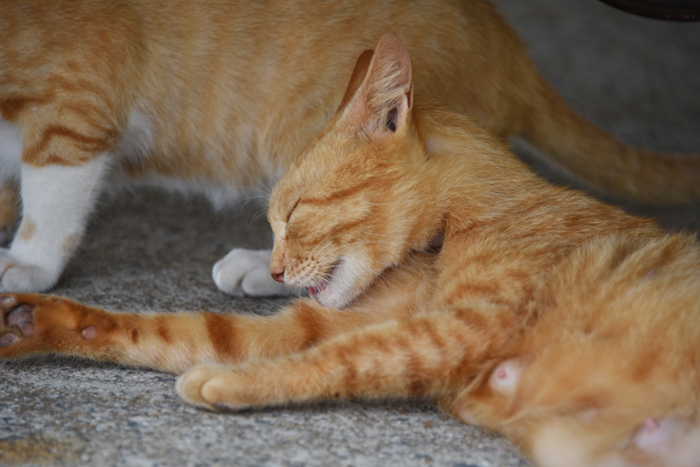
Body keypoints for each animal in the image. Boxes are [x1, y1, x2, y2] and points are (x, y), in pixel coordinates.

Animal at [1, 0, 700, 298]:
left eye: (294, 213)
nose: (276, 260)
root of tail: (507, 39)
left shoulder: (78, 101)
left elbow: (52, 199)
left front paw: (26, 265)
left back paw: (255, 269)